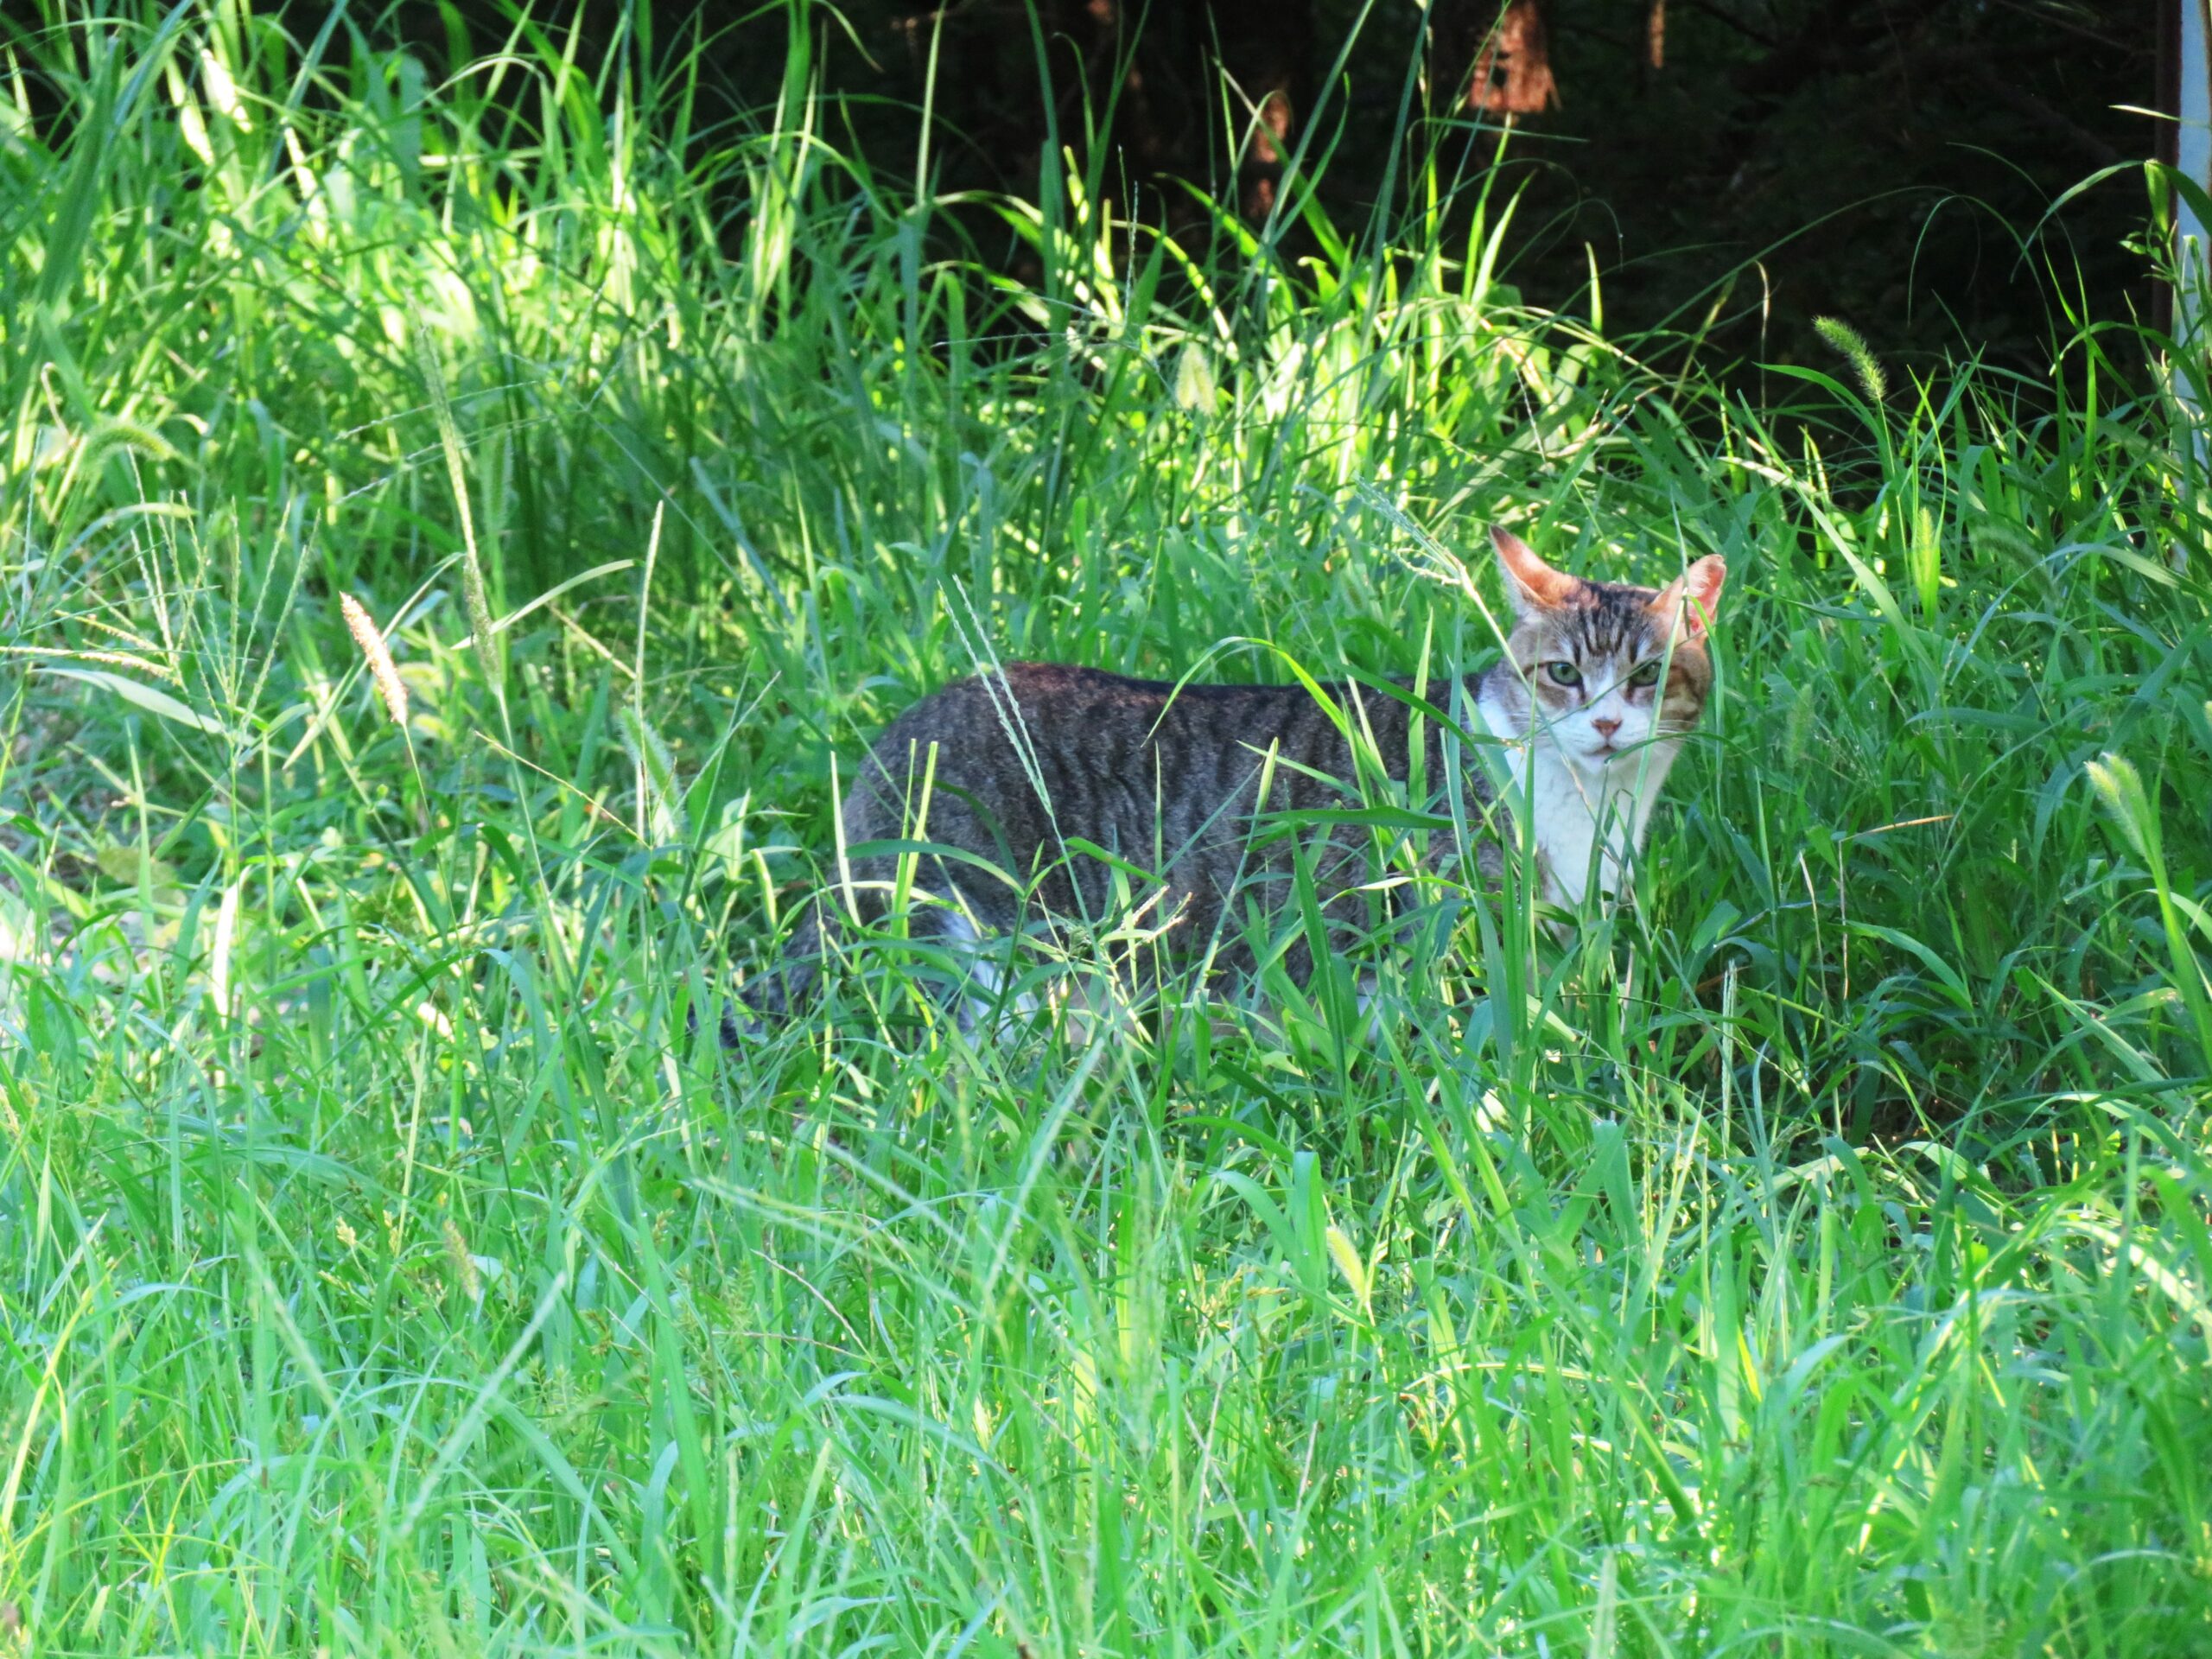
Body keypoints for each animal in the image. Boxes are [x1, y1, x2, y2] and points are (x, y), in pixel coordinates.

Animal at [743, 528, 1725, 1026]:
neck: (1591, 807)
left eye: (1647, 677)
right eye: (1562, 674)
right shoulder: (1424, 930)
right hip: (1001, 931)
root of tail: (896, 736)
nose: (1606, 723)